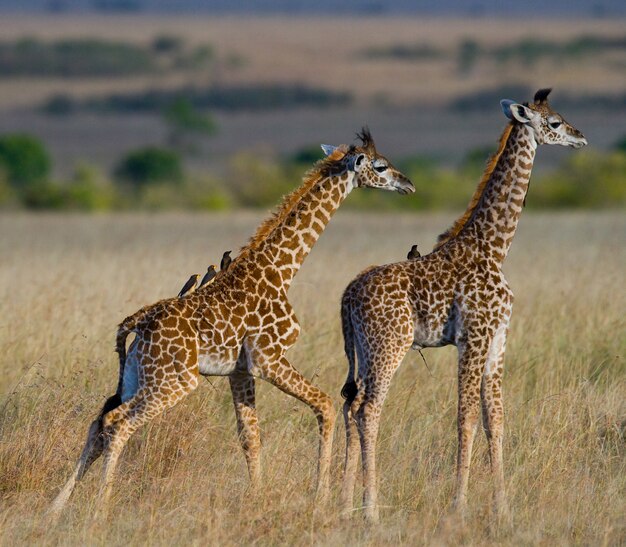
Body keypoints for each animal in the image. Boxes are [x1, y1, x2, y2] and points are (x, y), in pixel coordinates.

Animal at [50, 128, 414, 520]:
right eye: (381, 166)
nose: (408, 184)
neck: (281, 270)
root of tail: (137, 322)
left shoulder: (239, 370)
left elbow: (250, 436)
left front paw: (258, 498)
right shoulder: (268, 358)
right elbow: (324, 404)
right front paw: (319, 496)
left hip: (136, 375)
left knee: (99, 422)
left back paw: (55, 507)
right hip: (174, 381)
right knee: (118, 424)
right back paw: (100, 510)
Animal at [336, 89, 584, 524]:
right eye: (553, 123)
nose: (580, 136)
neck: (495, 247)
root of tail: (348, 295)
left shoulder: (499, 339)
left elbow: (494, 420)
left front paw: (502, 509)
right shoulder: (473, 337)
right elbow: (465, 418)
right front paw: (459, 506)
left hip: (361, 352)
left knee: (351, 406)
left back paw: (347, 507)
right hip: (389, 347)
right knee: (368, 411)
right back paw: (371, 512)